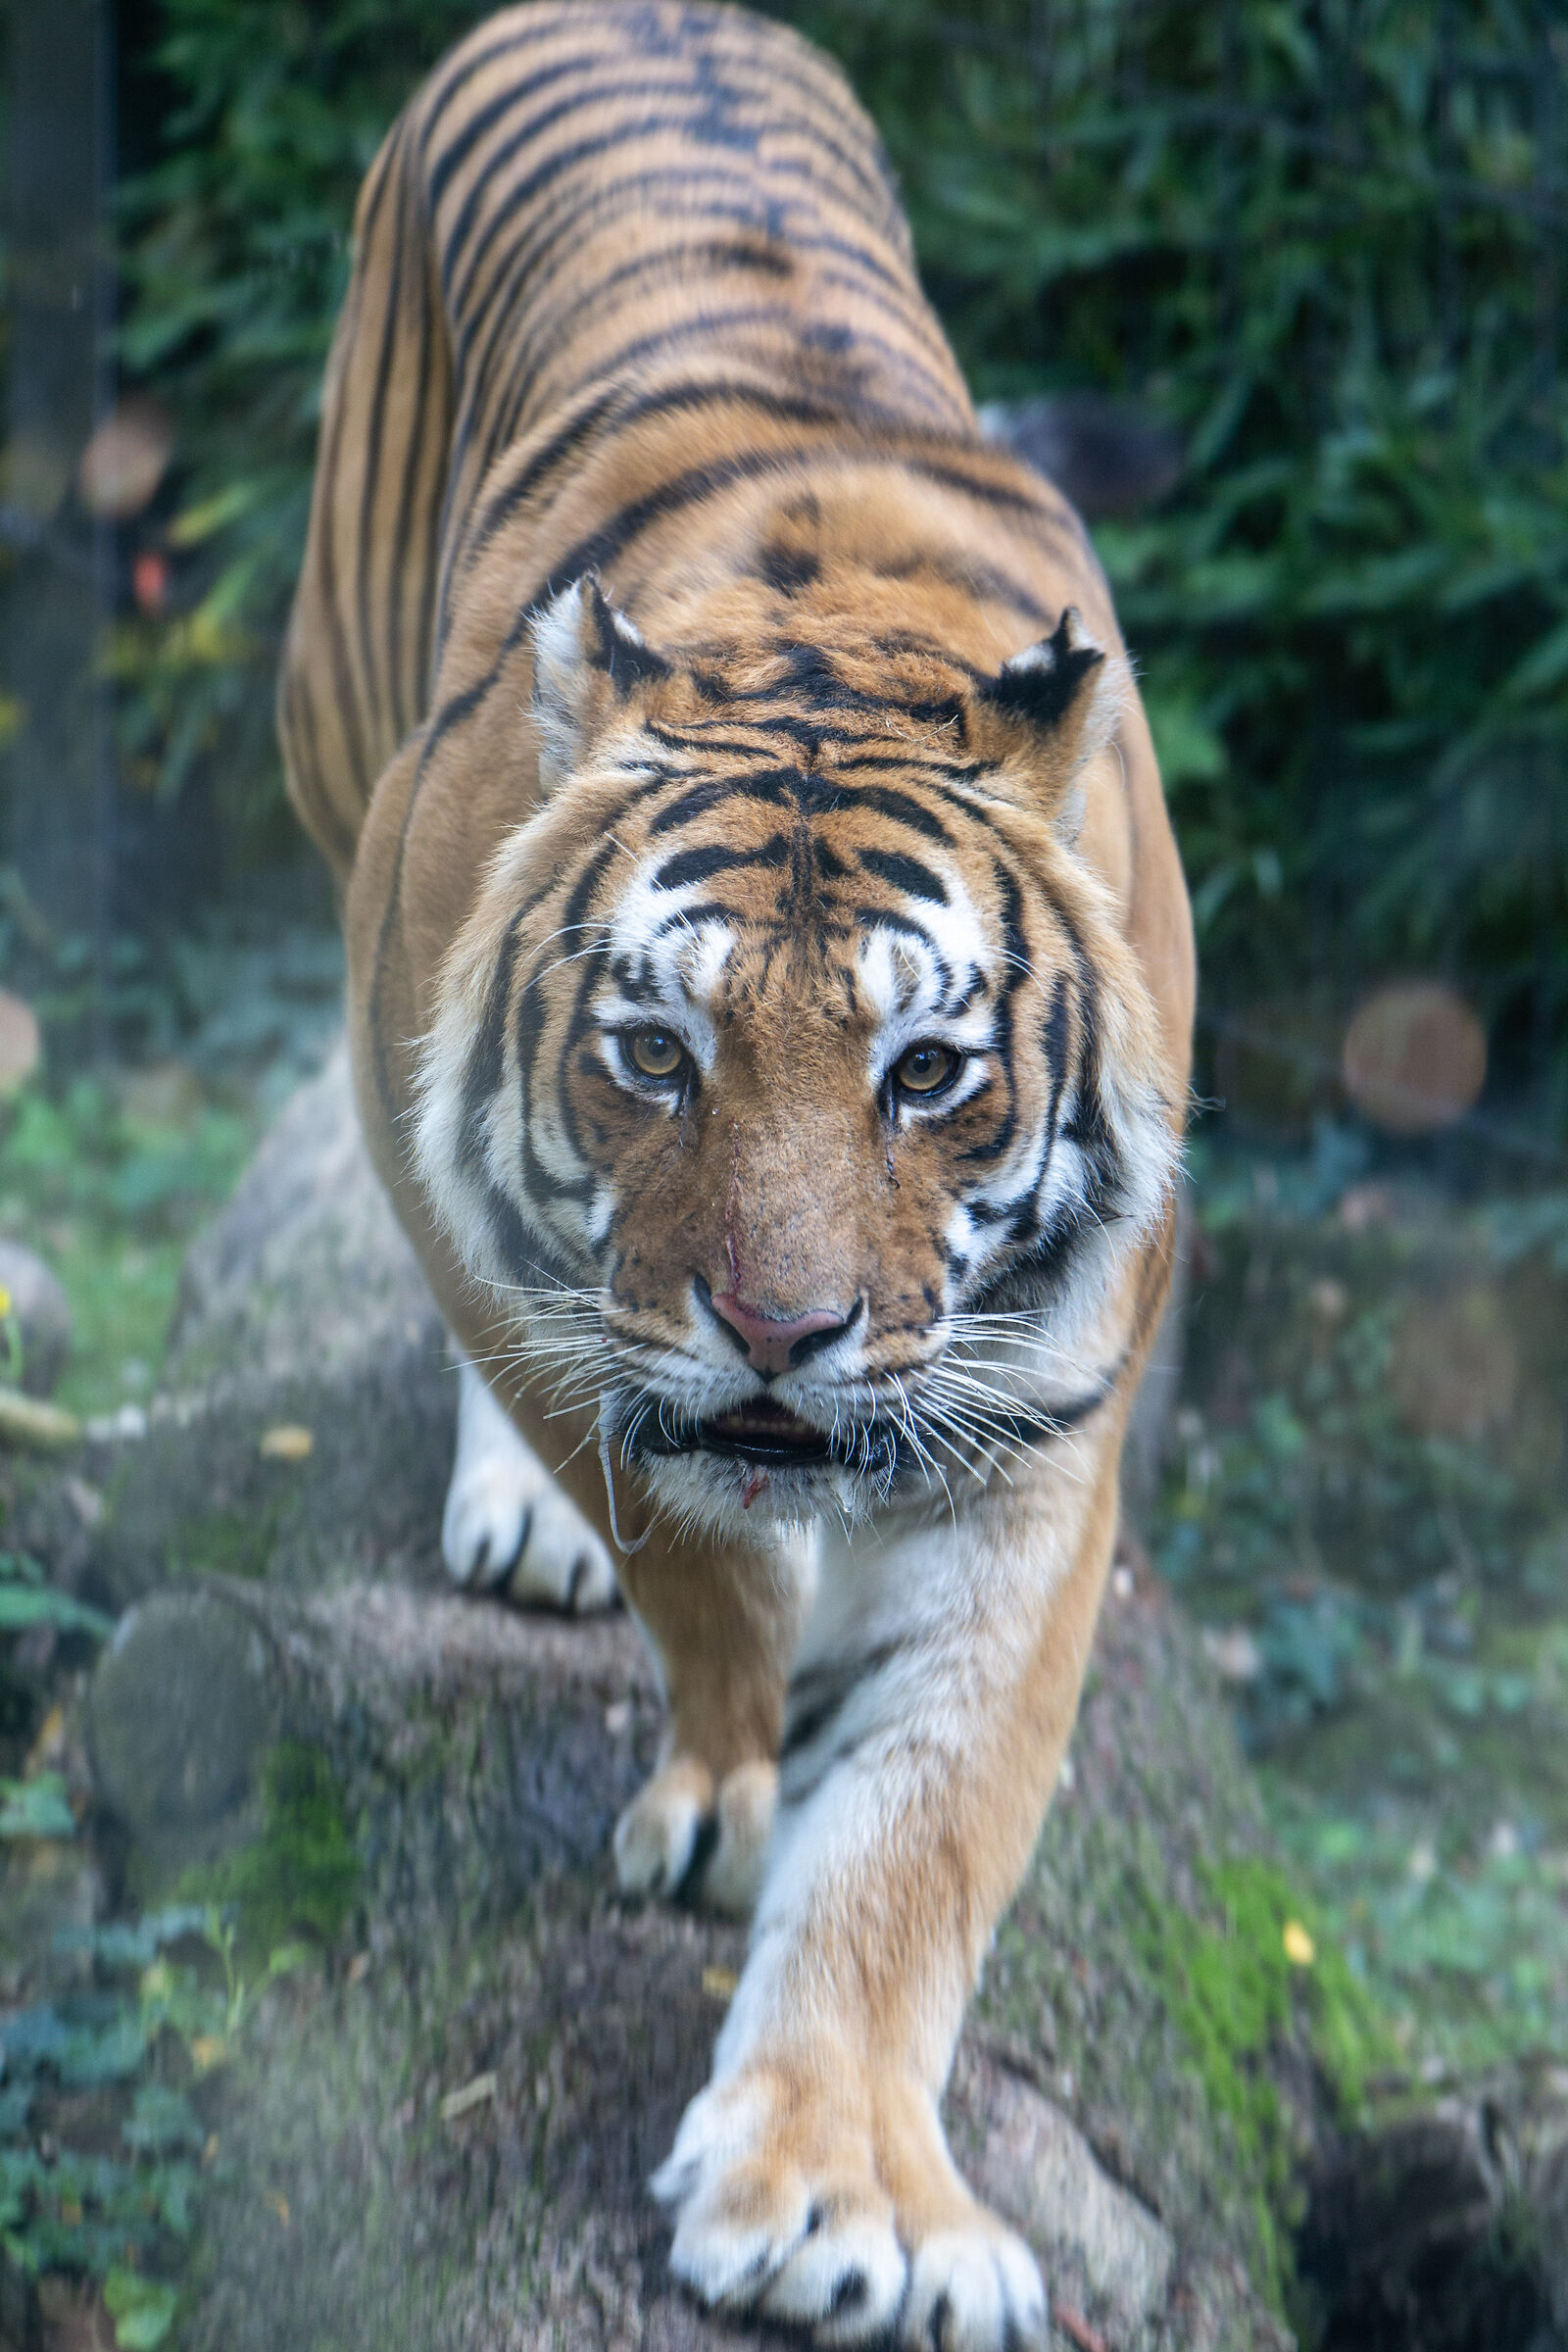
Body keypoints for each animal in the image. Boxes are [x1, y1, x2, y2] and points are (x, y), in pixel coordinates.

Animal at [279, 3, 1195, 2343]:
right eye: (653, 1056)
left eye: (927, 1071)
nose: (785, 1332)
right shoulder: (540, 1295)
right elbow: (693, 1569)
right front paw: (728, 1777)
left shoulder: (1044, 1422)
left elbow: (928, 1825)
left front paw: (839, 2198)